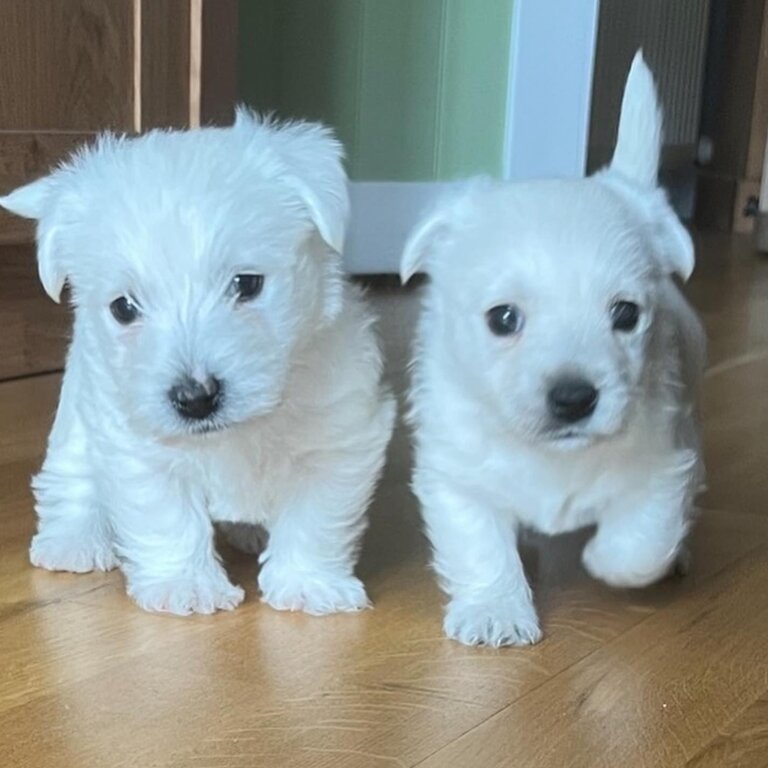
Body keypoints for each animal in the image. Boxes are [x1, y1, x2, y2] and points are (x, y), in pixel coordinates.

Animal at [0, 111, 396, 616]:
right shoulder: (138, 448)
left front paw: (309, 584)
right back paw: (72, 541)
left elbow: (315, 516)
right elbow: (167, 515)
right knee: (72, 476)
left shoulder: (341, 437)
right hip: (78, 413)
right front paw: (185, 585)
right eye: (124, 308)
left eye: (247, 284)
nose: (195, 398)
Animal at [402, 51, 708, 644]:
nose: (574, 399)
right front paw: (496, 610)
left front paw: (606, 561)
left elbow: (642, 536)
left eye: (626, 314)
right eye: (503, 319)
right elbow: (480, 544)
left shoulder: (663, 461)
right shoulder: (456, 475)